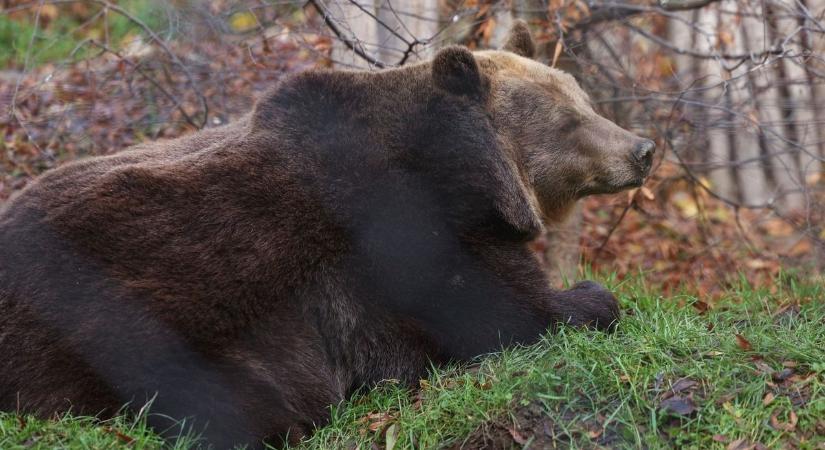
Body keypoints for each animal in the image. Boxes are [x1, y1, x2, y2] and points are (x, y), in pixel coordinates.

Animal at [0, 22, 652, 450]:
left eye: (584, 97)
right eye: (567, 119)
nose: (642, 149)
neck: (465, 174)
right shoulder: (400, 237)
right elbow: (506, 313)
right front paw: (594, 297)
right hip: (112, 312)